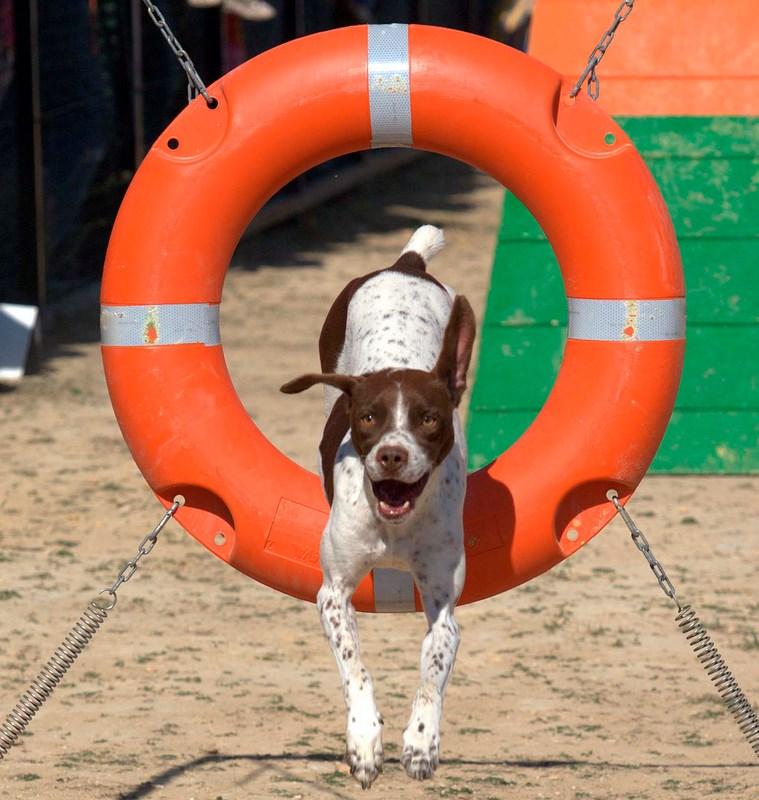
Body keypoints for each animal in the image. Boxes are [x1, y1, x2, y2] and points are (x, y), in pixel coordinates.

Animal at [282, 225, 476, 788]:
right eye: (368, 417)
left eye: (428, 418)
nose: (392, 454)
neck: (395, 521)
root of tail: (405, 265)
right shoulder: (333, 594)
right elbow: (356, 668)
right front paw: (365, 740)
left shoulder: (443, 603)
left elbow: (434, 664)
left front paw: (421, 742)